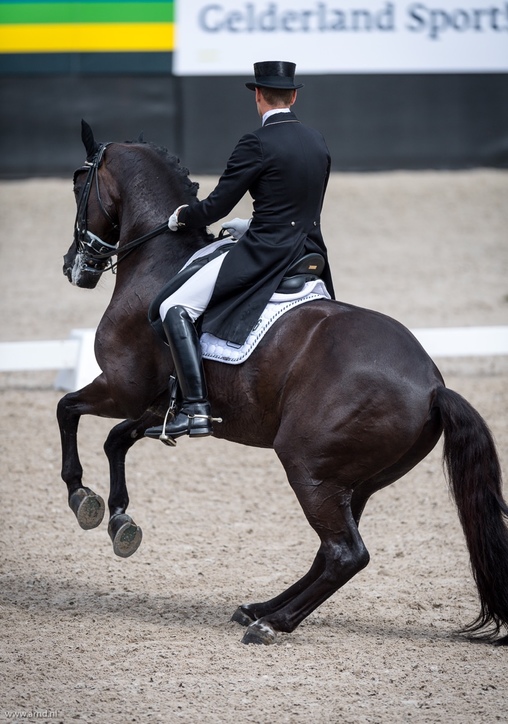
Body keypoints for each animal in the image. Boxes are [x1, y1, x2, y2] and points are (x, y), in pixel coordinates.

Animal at [59, 120, 508, 644]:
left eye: (78, 184)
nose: (73, 267)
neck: (158, 260)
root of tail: (434, 385)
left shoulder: (121, 387)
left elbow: (68, 409)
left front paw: (81, 497)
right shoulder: (153, 405)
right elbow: (115, 440)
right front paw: (119, 520)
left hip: (307, 466)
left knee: (346, 553)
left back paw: (272, 623)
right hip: (354, 483)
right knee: (331, 552)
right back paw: (261, 608)